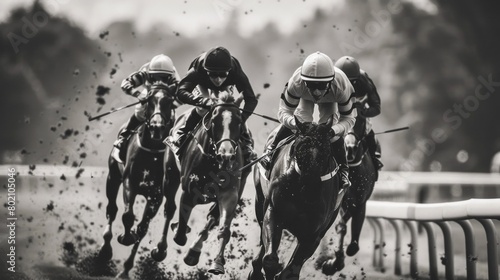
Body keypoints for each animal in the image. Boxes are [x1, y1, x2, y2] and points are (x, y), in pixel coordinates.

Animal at [97, 83, 176, 278]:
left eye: (169, 102)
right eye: (148, 101)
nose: (157, 126)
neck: (152, 149)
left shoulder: (156, 194)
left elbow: (142, 227)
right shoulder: (129, 182)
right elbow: (127, 215)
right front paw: (125, 237)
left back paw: (126, 268)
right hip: (113, 177)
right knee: (112, 209)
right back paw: (105, 250)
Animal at [149, 91, 249, 274]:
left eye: (239, 121)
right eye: (215, 120)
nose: (226, 156)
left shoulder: (230, 193)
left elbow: (223, 227)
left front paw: (216, 262)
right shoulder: (189, 191)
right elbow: (180, 233)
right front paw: (178, 231)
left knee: (211, 218)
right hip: (170, 175)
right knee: (170, 208)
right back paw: (160, 249)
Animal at [250, 116, 344, 280]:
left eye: (326, 151)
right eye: (300, 148)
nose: (310, 189)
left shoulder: (313, 234)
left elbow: (290, 272)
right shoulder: (274, 212)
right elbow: (270, 260)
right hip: (259, 201)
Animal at [320, 116, 376, 276]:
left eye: (362, 120)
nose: (349, 148)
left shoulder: (360, 202)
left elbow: (350, 228)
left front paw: (336, 261)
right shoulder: (340, 202)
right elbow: (340, 226)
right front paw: (334, 262)